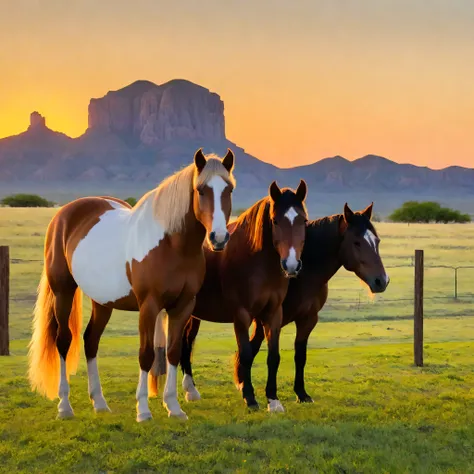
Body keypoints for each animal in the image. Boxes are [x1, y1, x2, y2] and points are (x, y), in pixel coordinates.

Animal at [28, 149, 236, 422]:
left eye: (229, 189)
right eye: (201, 190)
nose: (219, 238)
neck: (173, 245)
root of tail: (64, 214)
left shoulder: (183, 306)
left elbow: (173, 351)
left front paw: (174, 407)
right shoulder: (149, 305)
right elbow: (146, 354)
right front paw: (143, 410)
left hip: (102, 302)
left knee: (90, 341)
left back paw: (100, 403)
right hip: (63, 291)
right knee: (63, 340)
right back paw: (64, 406)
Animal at [150, 178, 310, 412]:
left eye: (303, 221)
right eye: (275, 221)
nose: (291, 265)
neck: (256, 262)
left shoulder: (273, 314)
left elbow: (273, 356)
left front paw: (273, 400)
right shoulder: (242, 315)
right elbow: (245, 354)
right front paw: (250, 398)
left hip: (192, 313)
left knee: (186, 343)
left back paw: (191, 391)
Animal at [178, 203, 388, 404]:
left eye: (377, 241)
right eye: (356, 242)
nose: (382, 281)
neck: (304, 274)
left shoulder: (307, 319)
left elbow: (300, 355)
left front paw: (301, 394)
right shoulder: (261, 319)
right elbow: (252, 349)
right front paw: (243, 385)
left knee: (187, 341)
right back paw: (191, 391)